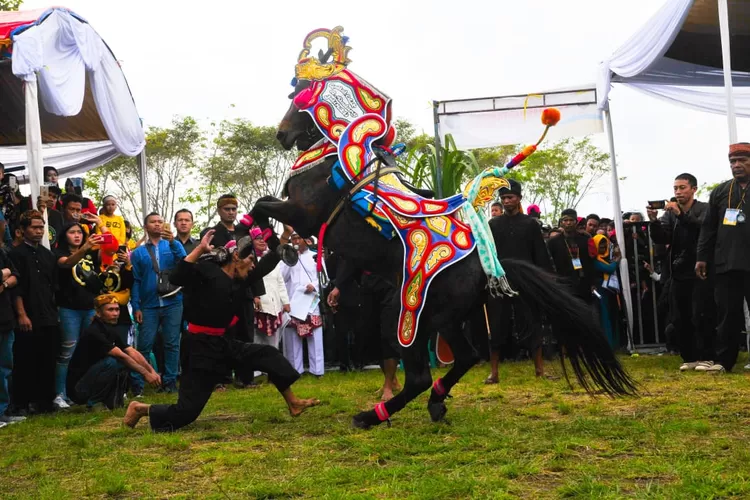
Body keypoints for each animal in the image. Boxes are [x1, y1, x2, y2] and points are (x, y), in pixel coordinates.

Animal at [256, 25, 636, 428]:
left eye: (297, 93)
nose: (281, 134)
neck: (337, 159)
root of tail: (486, 268)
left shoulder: (304, 213)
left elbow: (262, 204)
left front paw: (268, 239)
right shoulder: (341, 249)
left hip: (412, 317)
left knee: (422, 373)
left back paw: (374, 414)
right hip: (450, 319)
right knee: (466, 357)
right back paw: (435, 401)